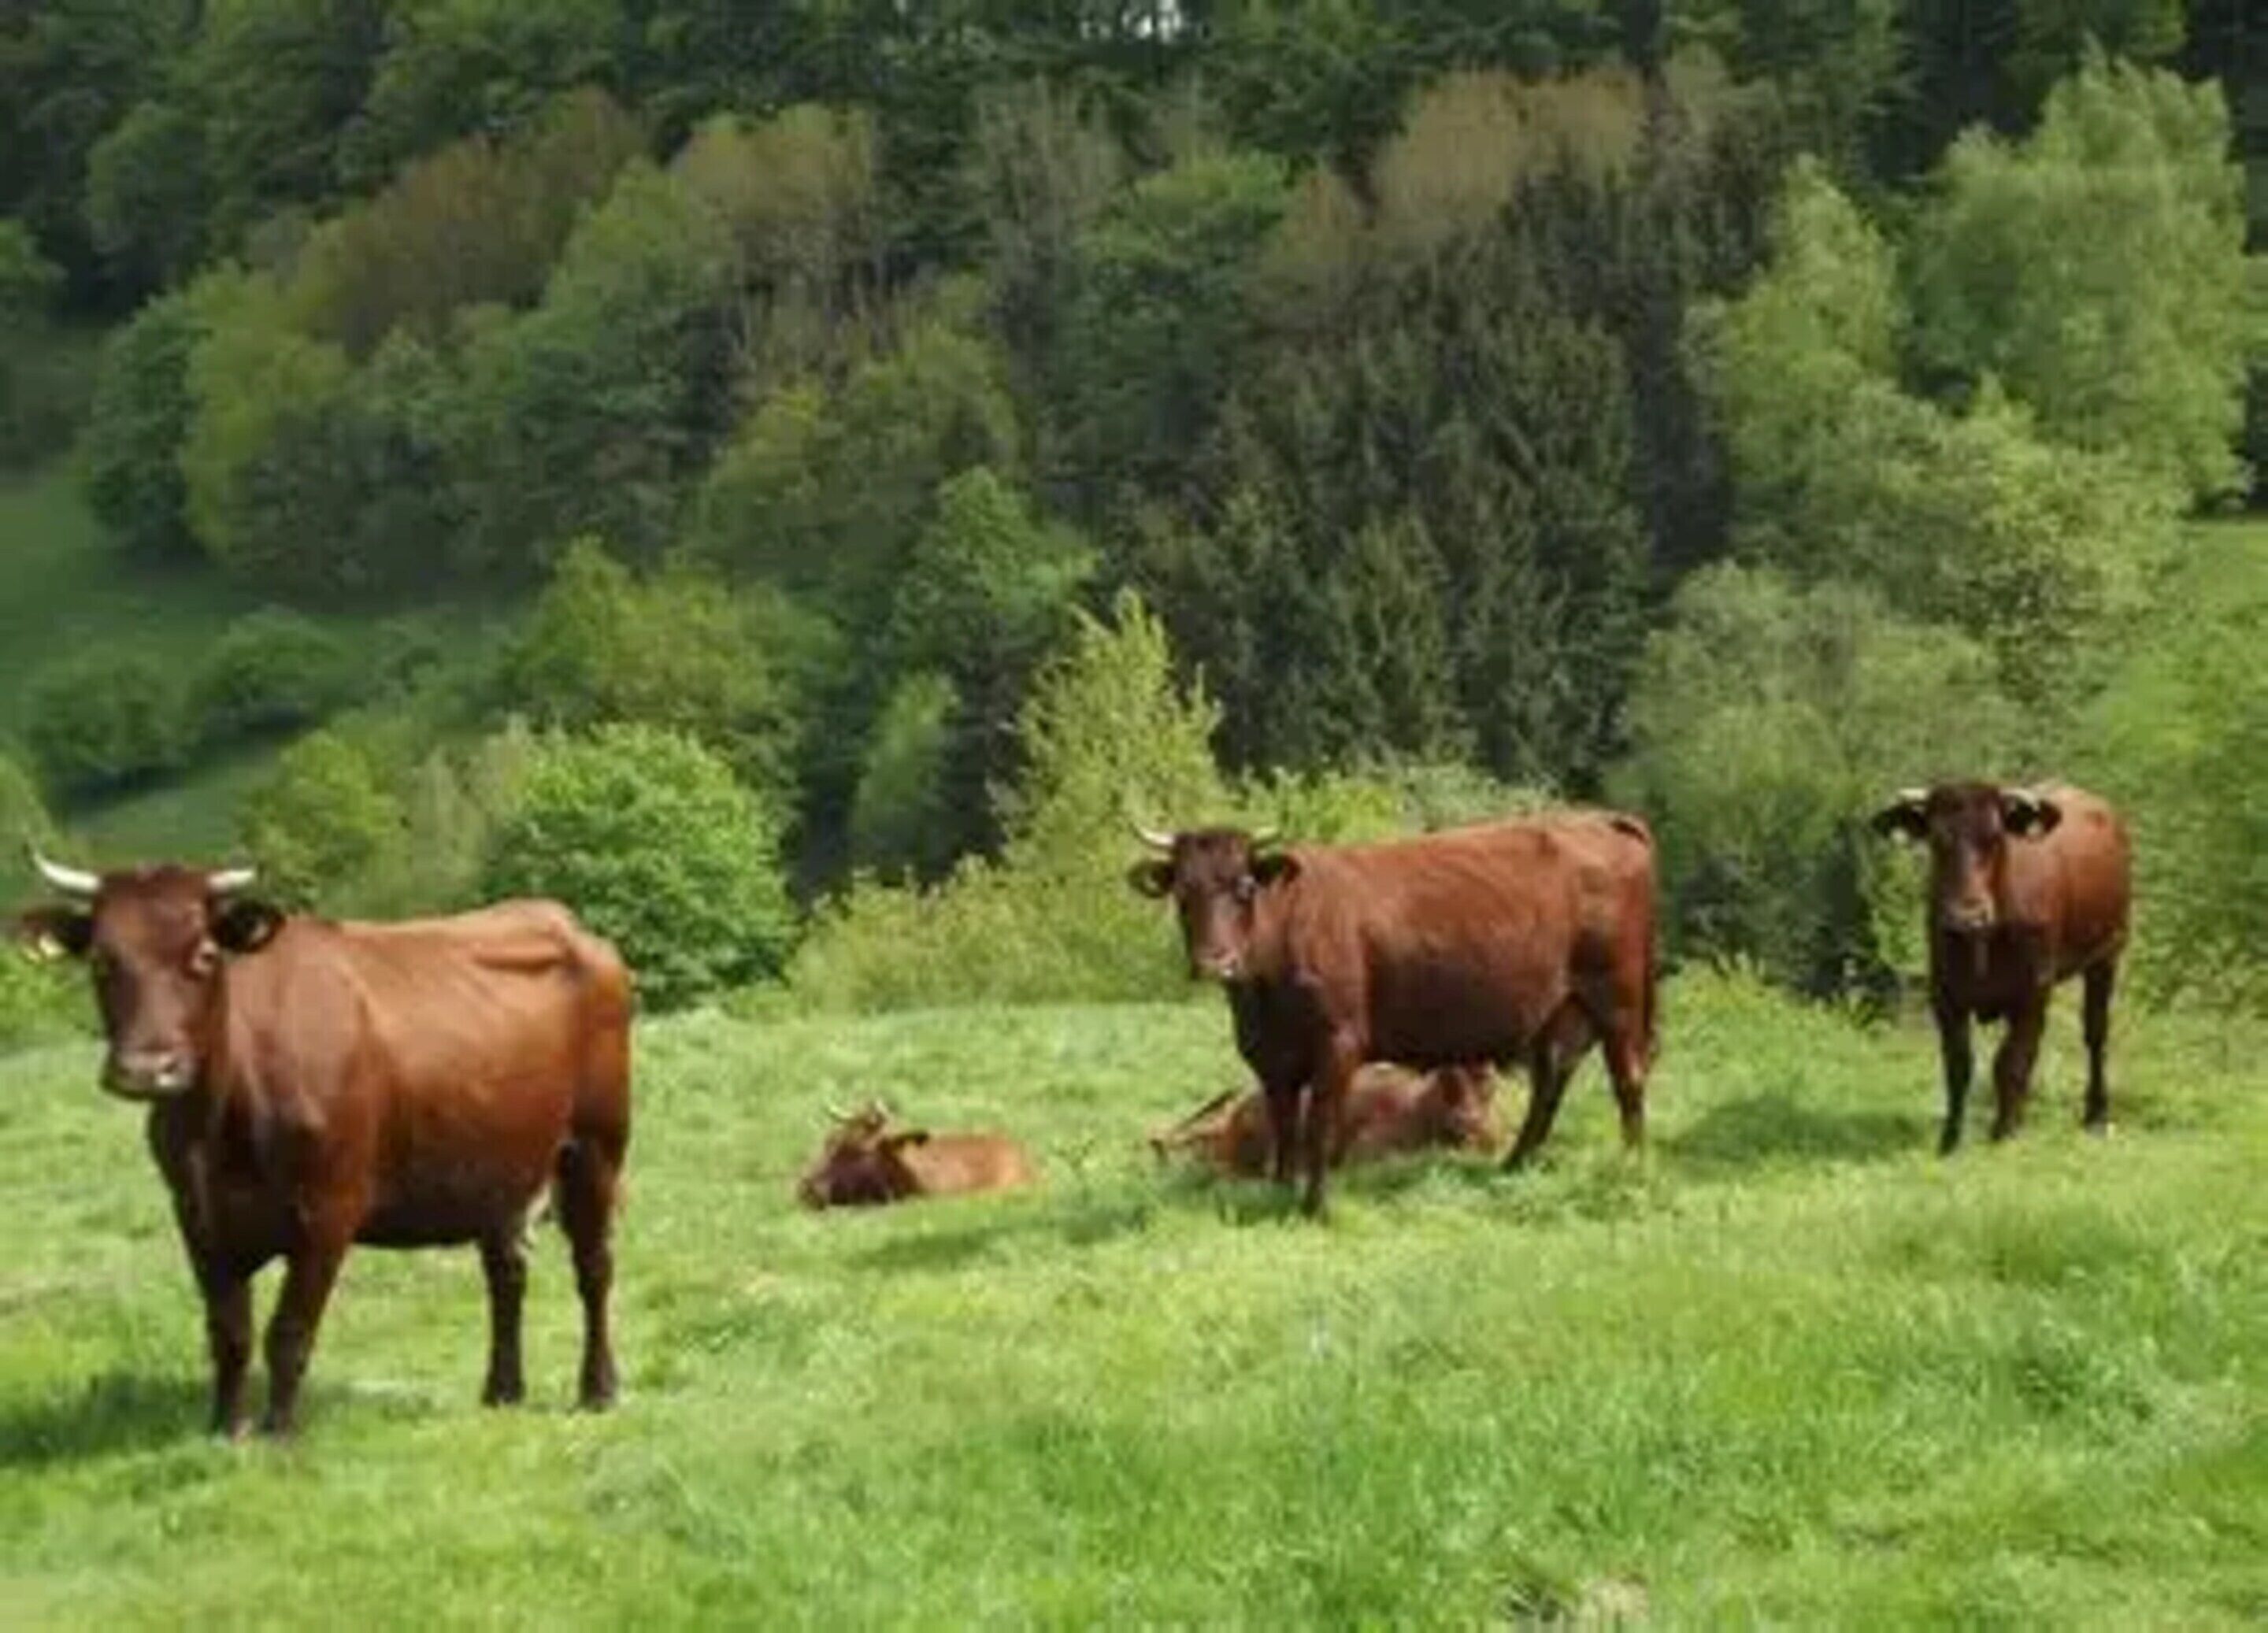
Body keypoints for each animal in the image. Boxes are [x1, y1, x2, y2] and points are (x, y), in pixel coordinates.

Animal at [12, 853, 633, 1438]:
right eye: (102, 960)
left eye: (206, 956)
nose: (146, 1070)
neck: (218, 1126)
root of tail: (564, 922)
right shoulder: (197, 1215)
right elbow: (228, 1333)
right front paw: (225, 1428)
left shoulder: (328, 1209)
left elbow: (288, 1332)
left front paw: (279, 1431)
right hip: (497, 1164)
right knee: (506, 1274)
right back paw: (503, 1390)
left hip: (595, 1147)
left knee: (594, 1268)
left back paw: (598, 1389)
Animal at [1869, 781, 2131, 1153]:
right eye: (1936, 839)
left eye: (1995, 838)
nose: (1967, 916)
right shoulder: (1944, 994)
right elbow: (1959, 1065)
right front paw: (1951, 1139)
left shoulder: (2033, 990)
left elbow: (2010, 1062)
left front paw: (2004, 1134)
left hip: (2107, 954)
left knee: (2095, 1034)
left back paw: (2096, 1115)